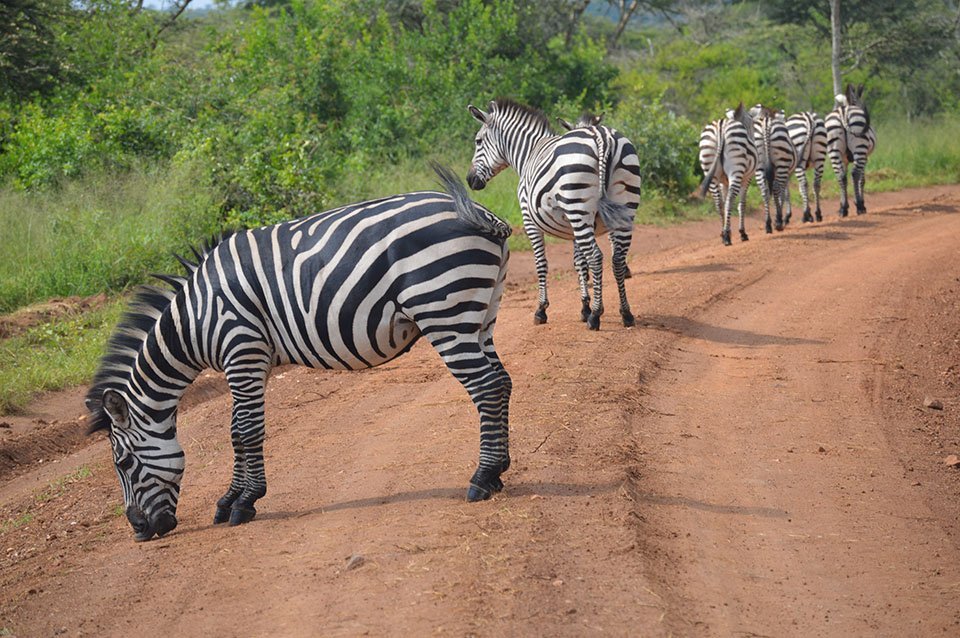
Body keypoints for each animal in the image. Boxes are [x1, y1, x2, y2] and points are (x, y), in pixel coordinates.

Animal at [84, 166, 516, 544]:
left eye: (123, 464)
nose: (139, 531)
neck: (193, 321)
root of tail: (478, 211)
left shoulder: (242, 350)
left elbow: (244, 431)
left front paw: (244, 502)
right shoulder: (246, 362)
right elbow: (235, 430)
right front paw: (229, 500)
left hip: (443, 310)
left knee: (486, 387)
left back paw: (481, 478)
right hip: (481, 314)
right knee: (502, 382)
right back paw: (497, 473)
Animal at [464, 99, 636, 336]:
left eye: (478, 141)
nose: (470, 180)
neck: (529, 153)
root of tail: (602, 137)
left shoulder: (529, 219)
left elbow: (541, 263)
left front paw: (542, 310)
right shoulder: (575, 225)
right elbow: (579, 262)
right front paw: (584, 307)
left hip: (579, 207)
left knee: (596, 257)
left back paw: (596, 317)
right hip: (622, 208)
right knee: (617, 259)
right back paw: (625, 313)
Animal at [696, 104, 756, 246]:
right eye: (752, 123)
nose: (753, 139)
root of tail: (721, 126)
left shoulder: (724, 182)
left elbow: (723, 202)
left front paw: (724, 231)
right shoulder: (747, 179)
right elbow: (742, 204)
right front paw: (742, 233)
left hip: (710, 171)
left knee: (719, 202)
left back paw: (724, 235)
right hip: (736, 171)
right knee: (730, 201)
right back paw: (727, 237)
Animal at [748, 105, 800, 235]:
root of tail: (766, 121)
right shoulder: (787, 173)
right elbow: (784, 193)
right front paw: (783, 217)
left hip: (759, 166)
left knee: (764, 191)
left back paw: (768, 224)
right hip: (782, 164)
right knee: (776, 189)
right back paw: (778, 223)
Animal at [824, 84, 876, 219]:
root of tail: (843, 112)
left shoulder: (845, 160)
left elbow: (845, 177)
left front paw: (845, 204)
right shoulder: (865, 157)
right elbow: (862, 180)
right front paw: (860, 203)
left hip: (834, 150)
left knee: (840, 176)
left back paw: (843, 209)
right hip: (860, 148)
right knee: (855, 174)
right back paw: (860, 207)